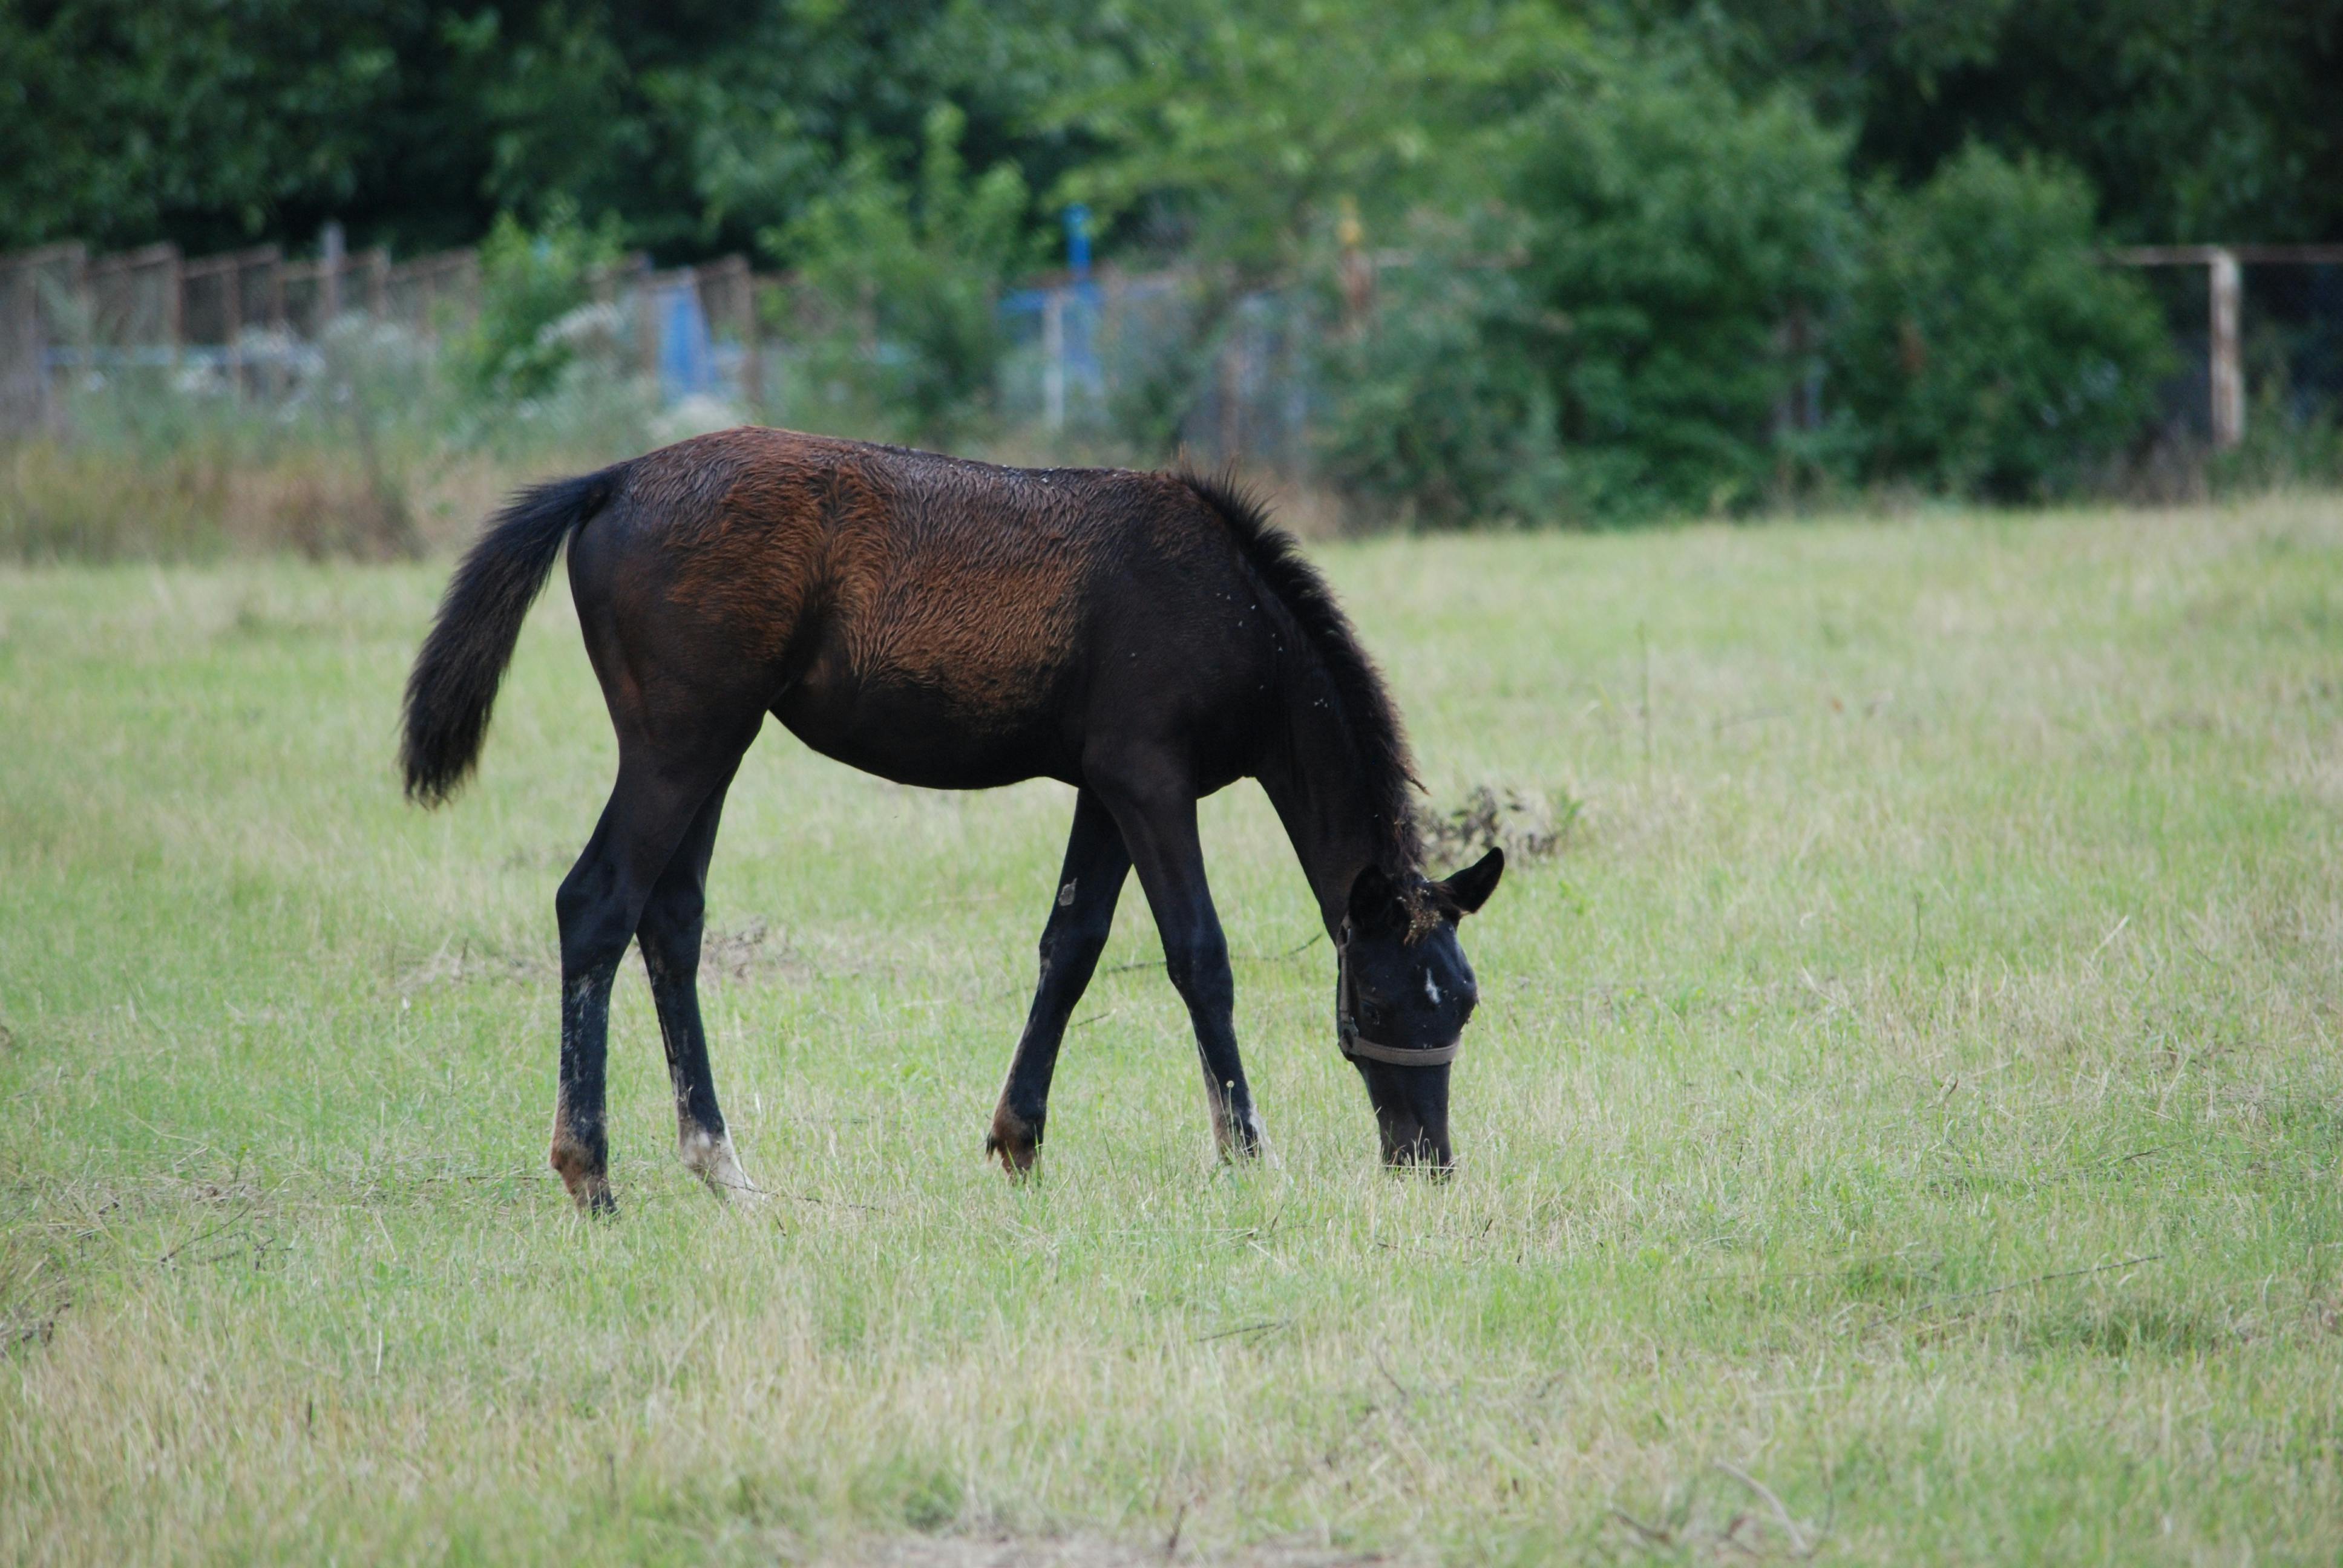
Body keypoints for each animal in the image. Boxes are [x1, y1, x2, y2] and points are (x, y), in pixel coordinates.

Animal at [400, 428, 1503, 1212]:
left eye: (1463, 1001)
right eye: (1383, 999)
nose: (1427, 1161)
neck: (1229, 606)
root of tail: (613, 480)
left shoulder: (1106, 788)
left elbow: (1072, 945)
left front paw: (1019, 1142)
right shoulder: (1150, 780)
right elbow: (1200, 954)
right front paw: (1247, 1152)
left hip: (714, 746)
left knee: (671, 922)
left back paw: (722, 1166)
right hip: (680, 744)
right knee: (597, 902)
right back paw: (591, 1173)